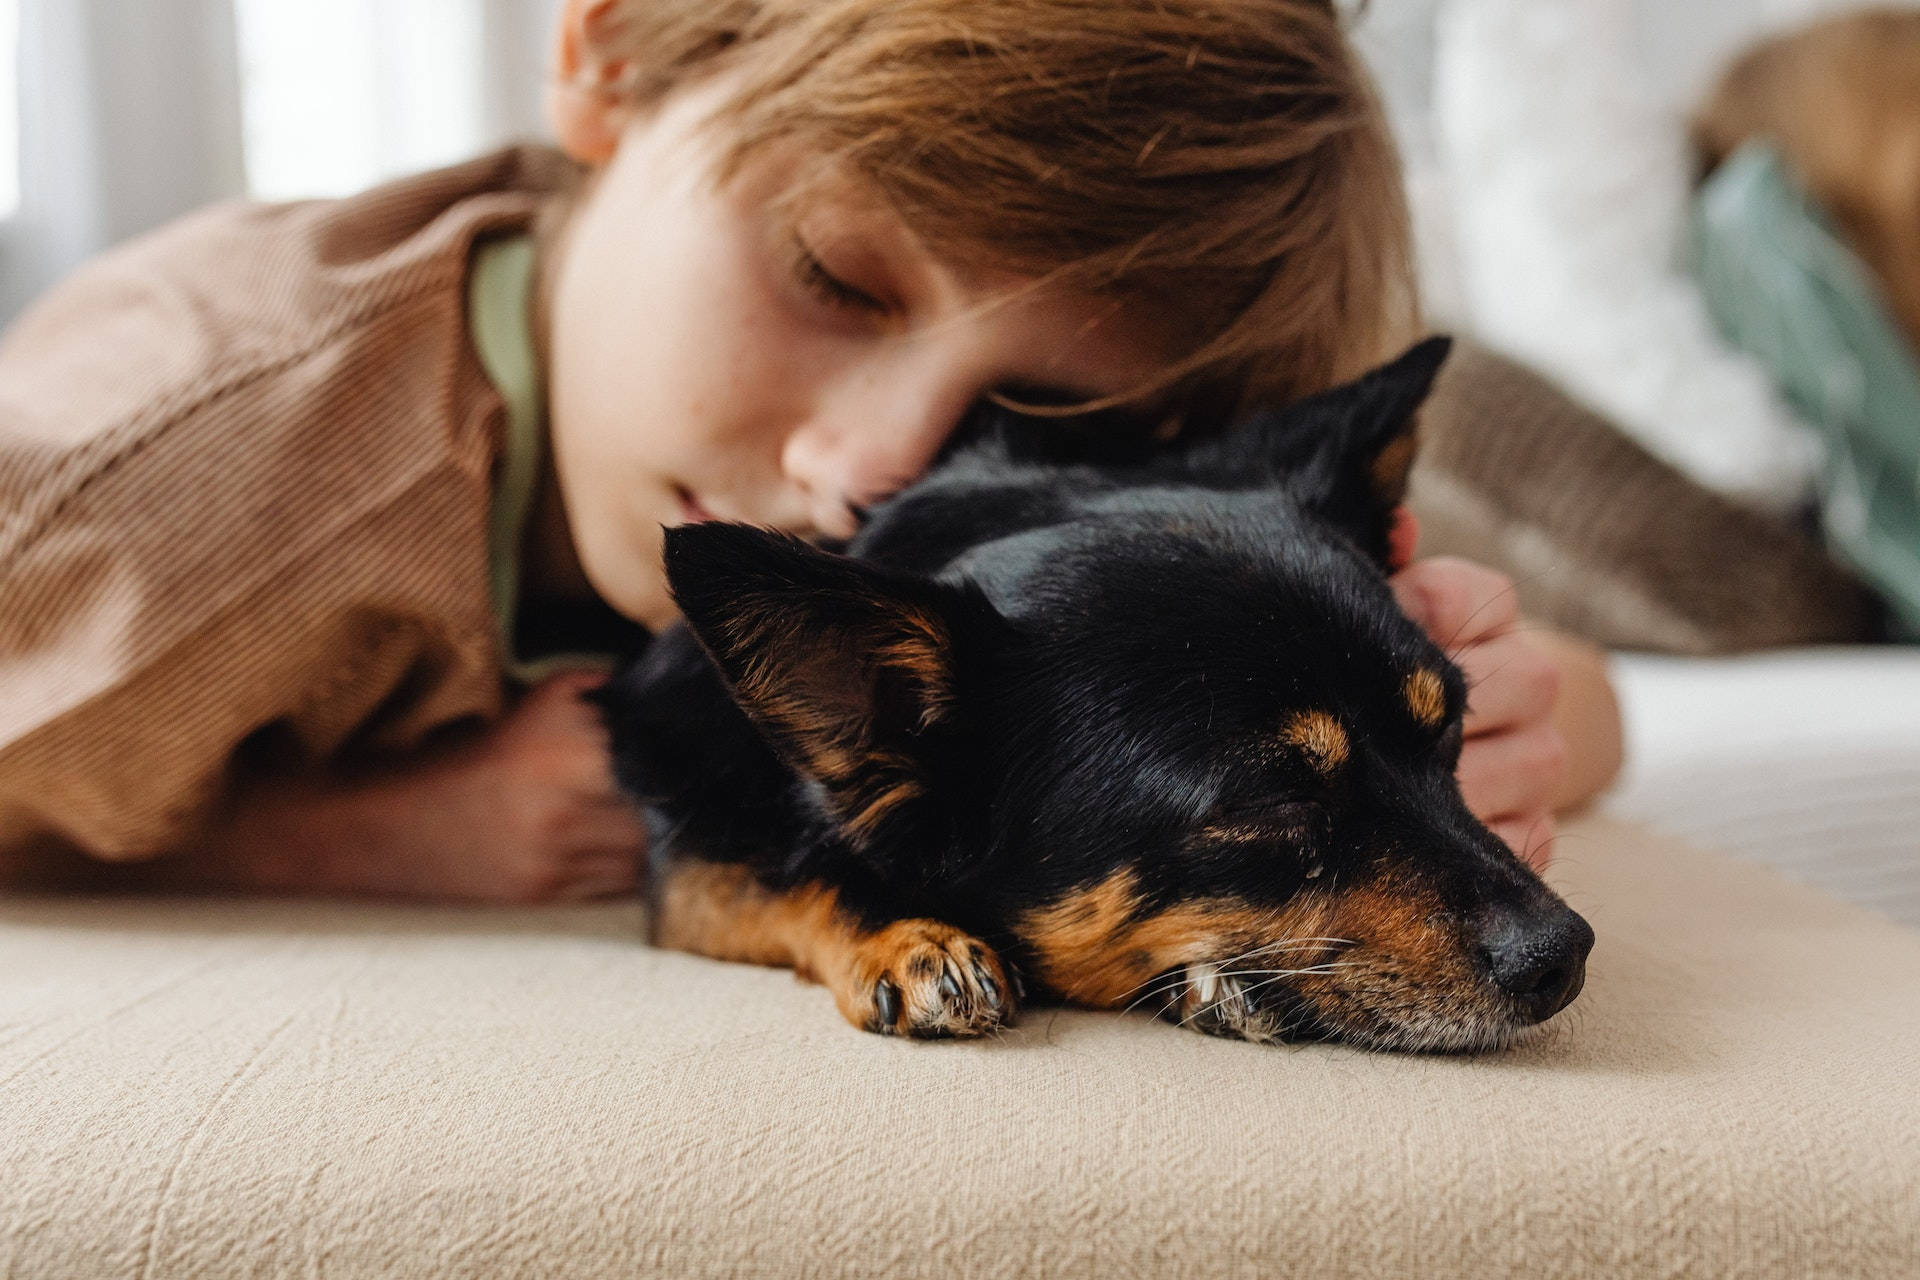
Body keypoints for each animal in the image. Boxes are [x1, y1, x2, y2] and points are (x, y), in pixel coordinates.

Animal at [599, 337, 1589, 1051]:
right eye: (1272, 800)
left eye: (1452, 730)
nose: (1566, 955)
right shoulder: (692, 850)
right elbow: (795, 869)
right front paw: (909, 934)